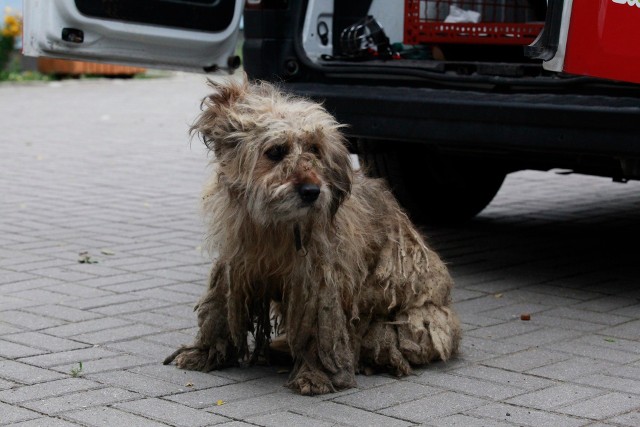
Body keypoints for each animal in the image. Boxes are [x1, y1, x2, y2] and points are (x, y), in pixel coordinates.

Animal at [165, 76, 460, 394]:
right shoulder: (235, 264)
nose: (311, 191)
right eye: (276, 151)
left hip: (406, 325)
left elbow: (322, 330)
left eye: (315, 149)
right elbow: (219, 306)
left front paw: (316, 375)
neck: (274, 225)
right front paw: (204, 352)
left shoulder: (318, 282)